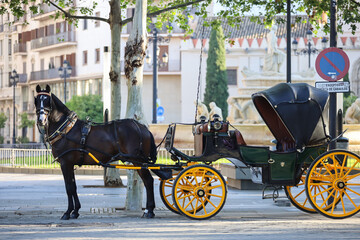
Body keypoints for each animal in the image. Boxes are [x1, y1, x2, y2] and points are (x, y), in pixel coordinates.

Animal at [34, 84, 164, 219]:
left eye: (48, 101)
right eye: (37, 100)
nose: (41, 120)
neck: (66, 129)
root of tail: (142, 127)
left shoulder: (65, 163)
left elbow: (69, 187)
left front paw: (68, 212)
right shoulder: (70, 165)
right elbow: (73, 187)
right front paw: (75, 211)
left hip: (138, 161)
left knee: (148, 181)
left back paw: (149, 210)